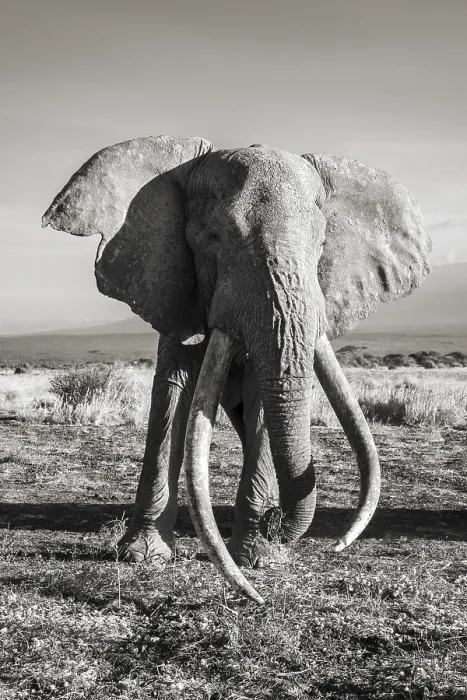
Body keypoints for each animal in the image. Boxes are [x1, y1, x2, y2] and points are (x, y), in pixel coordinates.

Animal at [42, 136, 431, 604]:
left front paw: (262, 558)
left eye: (322, 245)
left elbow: (262, 401)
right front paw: (142, 557)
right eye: (213, 238)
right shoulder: (176, 291)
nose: (276, 522)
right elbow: (172, 391)